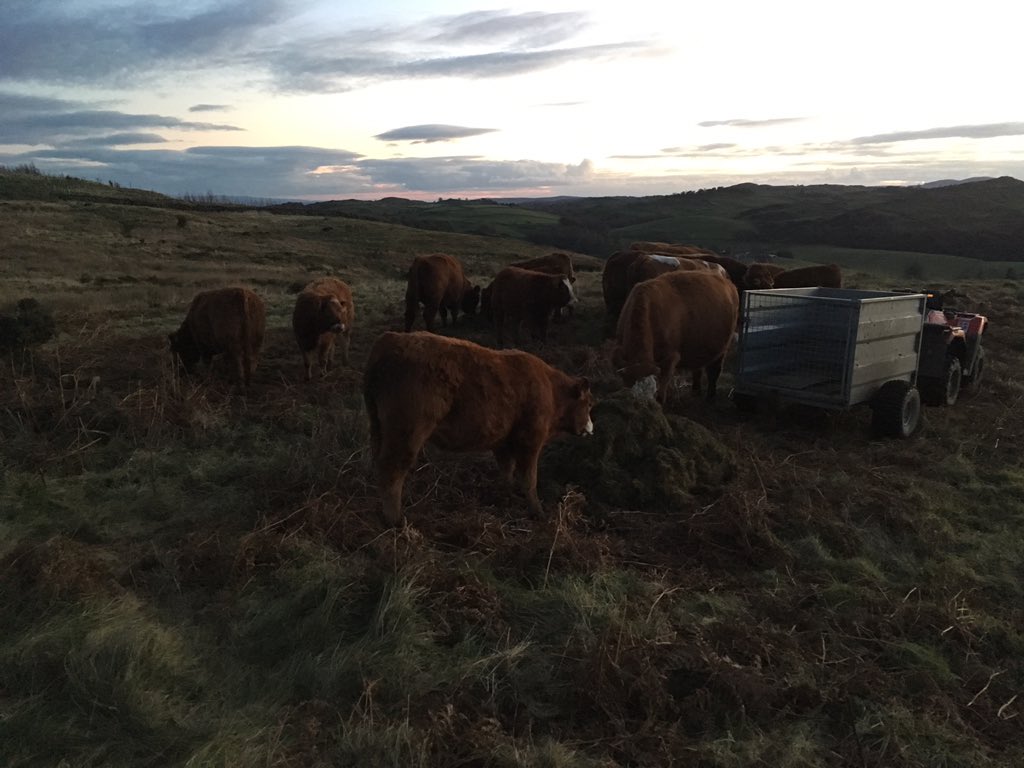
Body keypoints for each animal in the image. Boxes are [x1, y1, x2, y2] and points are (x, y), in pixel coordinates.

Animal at [363, 331, 595, 525]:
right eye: (589, 404)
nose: (591, 428)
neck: (551, 390)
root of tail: (390, 339)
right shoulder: (530, 443)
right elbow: (529, 479)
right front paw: (538, 512)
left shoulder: (504, 444)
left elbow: (507, 471)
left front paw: (507, 495)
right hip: (407, 435)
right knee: (392, 470)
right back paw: (396, 520)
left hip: (379, 430)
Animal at [613, 270, 739, 404]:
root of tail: (728, 283)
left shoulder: (670, 358)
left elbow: (662, 387)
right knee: (698, 369)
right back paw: (696, 391)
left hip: (722, 349)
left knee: (714, 371)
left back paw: (710, 397)